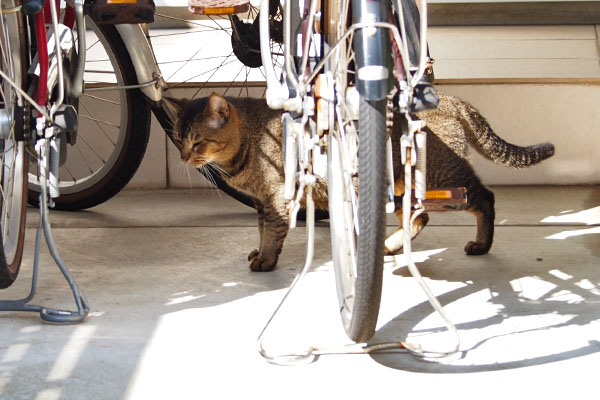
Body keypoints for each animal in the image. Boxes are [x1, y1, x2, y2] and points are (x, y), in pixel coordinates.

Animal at [163, 91, 552, 272]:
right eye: (178, 139)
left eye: (197, 142)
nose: (182, 157)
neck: (251, 141)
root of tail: (454, 99)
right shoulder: (262, 202)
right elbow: (261, 231)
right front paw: (259, 252)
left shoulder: (276, 199)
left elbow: (272, 233)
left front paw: (267, 260)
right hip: (401, 188)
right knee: (419, 218)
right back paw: (391, 245)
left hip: (440, 179)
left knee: (485, 197)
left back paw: (482, 244)